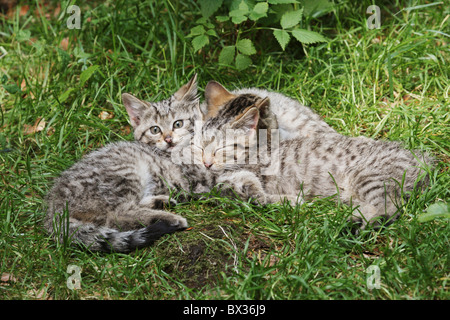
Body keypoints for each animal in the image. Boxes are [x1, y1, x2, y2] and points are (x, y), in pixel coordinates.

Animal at [44, 75, 202, 252]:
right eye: (155, 130)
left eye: (178, 124)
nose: (168, 139)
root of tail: (53, 206)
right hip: (127, 173)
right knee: (117, 215)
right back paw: (168, 218)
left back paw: (160, 202)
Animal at [192, 86, 432, 229]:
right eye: (199, 147)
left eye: (222, 147)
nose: (207, 162)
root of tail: (422, 160)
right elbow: (248, 193)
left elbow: (256, 196)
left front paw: (287, 201)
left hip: (368, 177)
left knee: (390, 206)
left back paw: (359, 224)